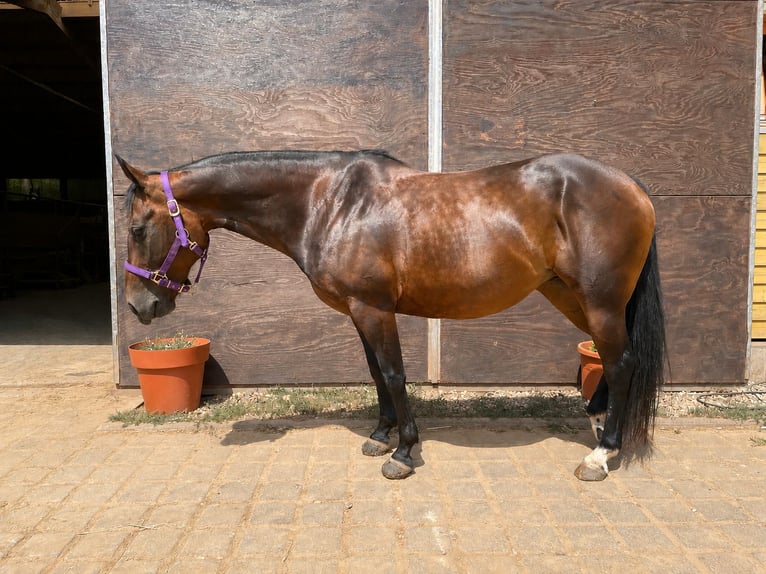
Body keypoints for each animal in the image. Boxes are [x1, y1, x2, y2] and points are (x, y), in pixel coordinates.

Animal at [117, 149, 666, 482]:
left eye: (139, 229)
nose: (140, 306)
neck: (329, 203)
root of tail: (633, 187)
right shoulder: (358, 310)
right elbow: (376, 374)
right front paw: (380, 438)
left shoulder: (374, 308)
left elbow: (396, 374)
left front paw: (403, 452)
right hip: (570, 296)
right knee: (613, 360)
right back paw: (596, 419)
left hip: (598, 301)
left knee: (622, 362)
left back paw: (602, 453)